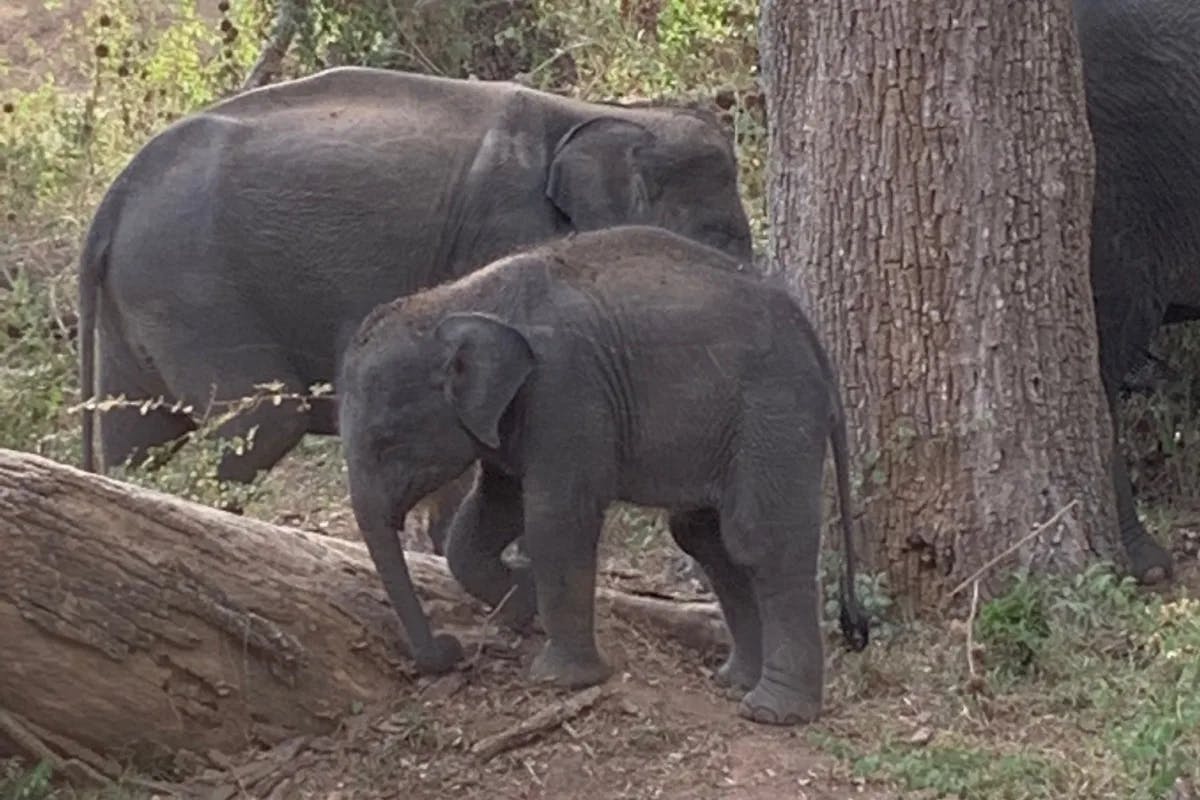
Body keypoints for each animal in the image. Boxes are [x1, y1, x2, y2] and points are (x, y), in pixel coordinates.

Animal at [77, 67, 748, 532]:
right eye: (719, 234)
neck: (605, 114)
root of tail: (113, 199)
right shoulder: (505, 233)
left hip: (141, 301)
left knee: (137, 438)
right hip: (193, 289)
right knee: (264, 421)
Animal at [340, 225, 873, 724]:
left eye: (386, 441)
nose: (449, 648)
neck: (457, 299)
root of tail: (815, 343)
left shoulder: (565, 390)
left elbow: (555, 517)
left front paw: (558, 678)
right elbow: (492, 511)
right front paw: (524, 606)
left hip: (774, 412)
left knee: (759, 541)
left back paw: (772, 711)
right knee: (704, 537)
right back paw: (735, 680)